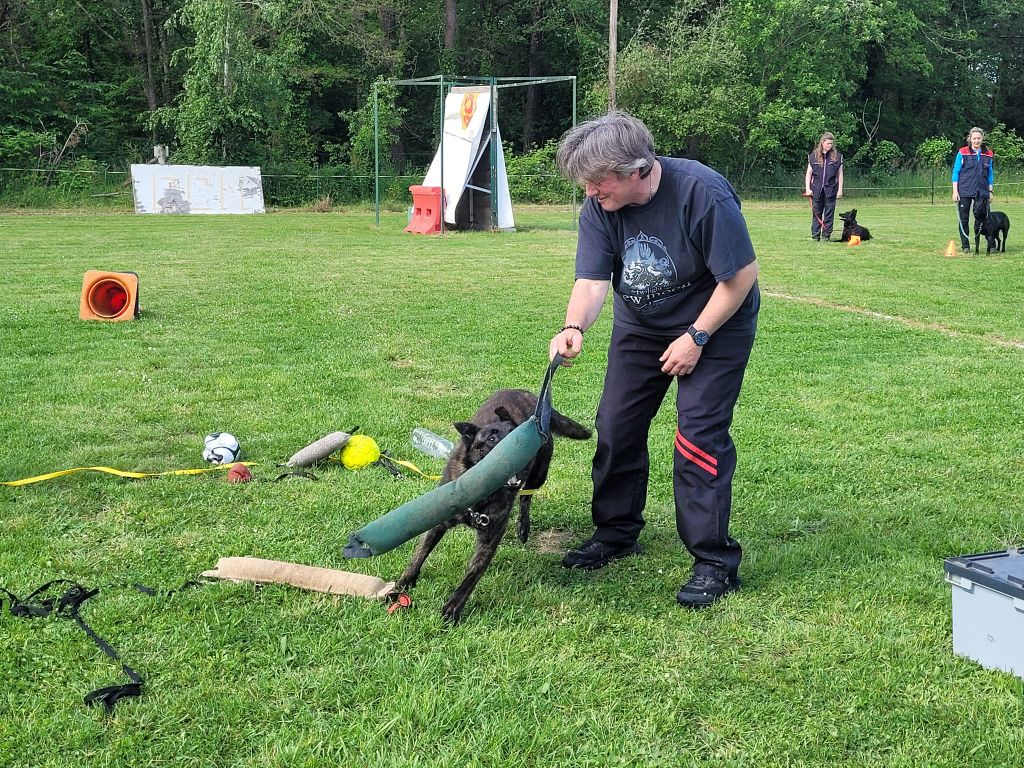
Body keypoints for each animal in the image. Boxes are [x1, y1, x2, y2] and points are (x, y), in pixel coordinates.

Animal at [397, 391, 598, 626]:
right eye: (491, 439)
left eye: (516, 431)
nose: (519, 445)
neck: (482, 488)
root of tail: (528, 393)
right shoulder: (439, 522)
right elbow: (419, 555)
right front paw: (400, 587)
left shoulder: (491, 536)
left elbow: (471, 576)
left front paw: (452, 610)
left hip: (540, 472)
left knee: (526, 497)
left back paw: (523, 526)